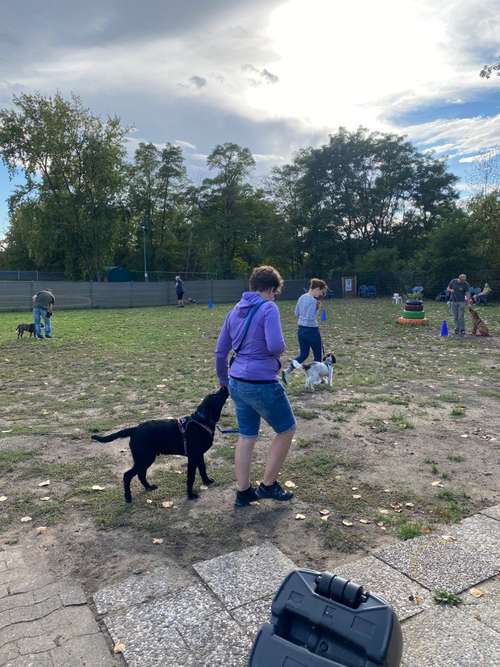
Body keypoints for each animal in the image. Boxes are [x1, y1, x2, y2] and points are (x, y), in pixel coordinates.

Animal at [91, 388, 229, 504]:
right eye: (215, 395)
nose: (224, 387)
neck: (201, 421)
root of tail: (135, 429)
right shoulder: (193, 457)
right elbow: (191, 477)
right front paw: (190, 495)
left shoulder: (199, 456)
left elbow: (203, 469)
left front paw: (207, 481)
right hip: (145, 458)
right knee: (127, 476)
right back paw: (128, 497)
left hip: (145, 459)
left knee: (140, 474)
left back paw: (149, 487)